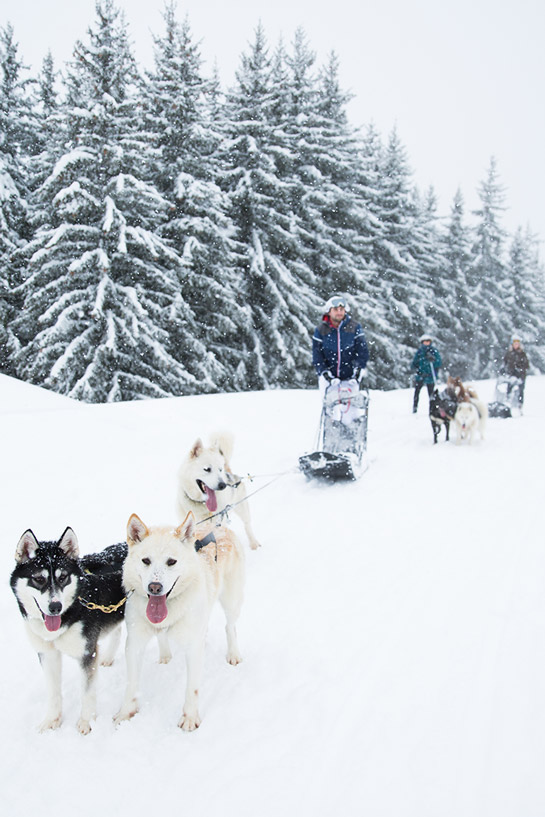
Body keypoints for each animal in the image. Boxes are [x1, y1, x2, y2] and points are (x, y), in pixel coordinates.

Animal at [115, 512, 244, 728]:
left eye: (171, 562)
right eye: (146, 560)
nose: (155, 587)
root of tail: (217, 526)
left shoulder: (192, 648)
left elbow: (192, 688)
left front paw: (190, 717)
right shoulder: (134, 644)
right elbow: (131, 684)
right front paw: (126, 712)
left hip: (231, 600)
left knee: (230, 626)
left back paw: (233, 653)